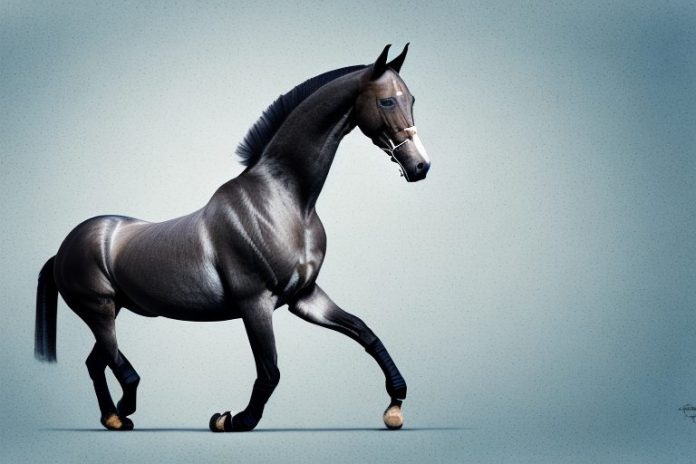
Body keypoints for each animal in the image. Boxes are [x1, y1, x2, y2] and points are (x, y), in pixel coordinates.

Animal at [35, 44, 430, 432]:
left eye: (411, 98)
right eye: (386, 101)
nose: (420, 166)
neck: (285, 201)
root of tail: (63, 248)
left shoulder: (304, 296)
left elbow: (365, 333)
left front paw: (395, 405)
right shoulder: (255, 303)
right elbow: (270, 371)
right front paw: (234, 419)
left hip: (112, 309)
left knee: (97, 362)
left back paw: (113, 417)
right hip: (98, 310)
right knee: (118, 365)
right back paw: (123, 411)